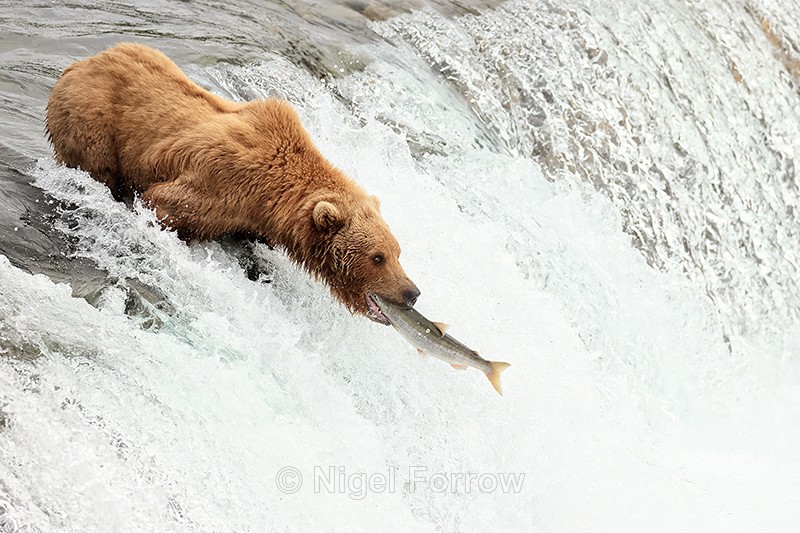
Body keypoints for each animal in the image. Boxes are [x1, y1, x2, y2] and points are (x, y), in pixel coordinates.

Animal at [45, 43, 419, 323]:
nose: (412, 292)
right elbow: (164, 202)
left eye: (397, 251)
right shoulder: (220, 182)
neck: (272, 199)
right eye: (377, 257)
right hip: (93, 120)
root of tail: (82, 62)